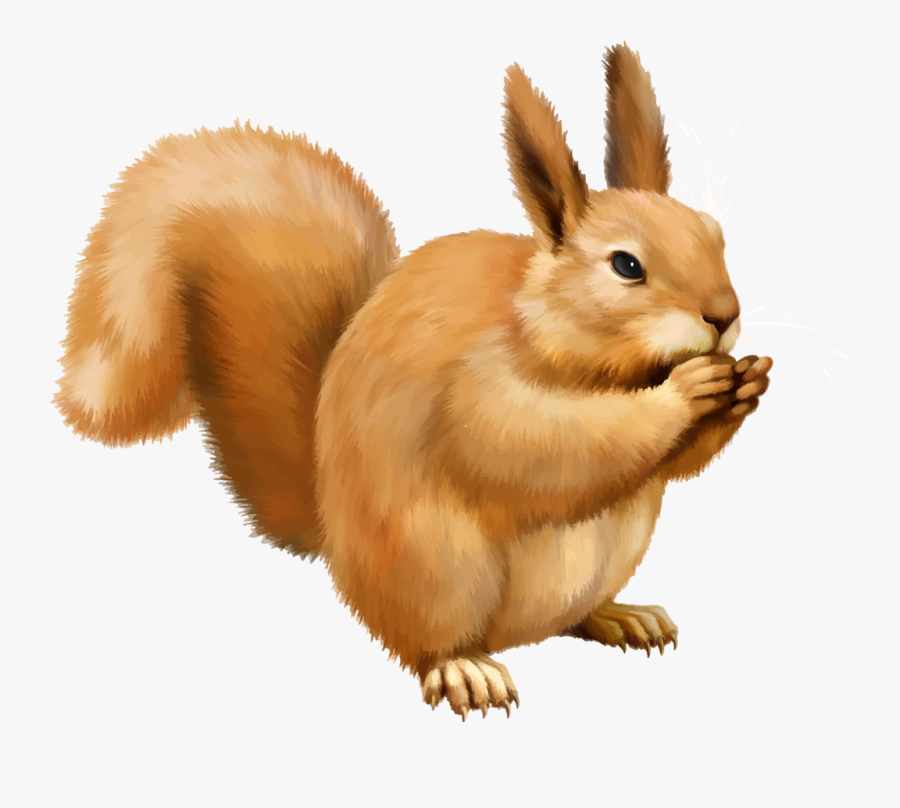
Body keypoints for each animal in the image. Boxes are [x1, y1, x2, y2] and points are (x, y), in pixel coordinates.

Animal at [54, 43, 773, 720]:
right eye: (626, 266)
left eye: (716, 236)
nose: (724, 315)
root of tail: (334, 539)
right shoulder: (477, 389)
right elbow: (545, 444)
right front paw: (687, 394)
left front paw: (746, 386)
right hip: (436, 570)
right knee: (426, 643)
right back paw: (466, 669)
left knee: (573, 617)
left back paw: (622, 615)